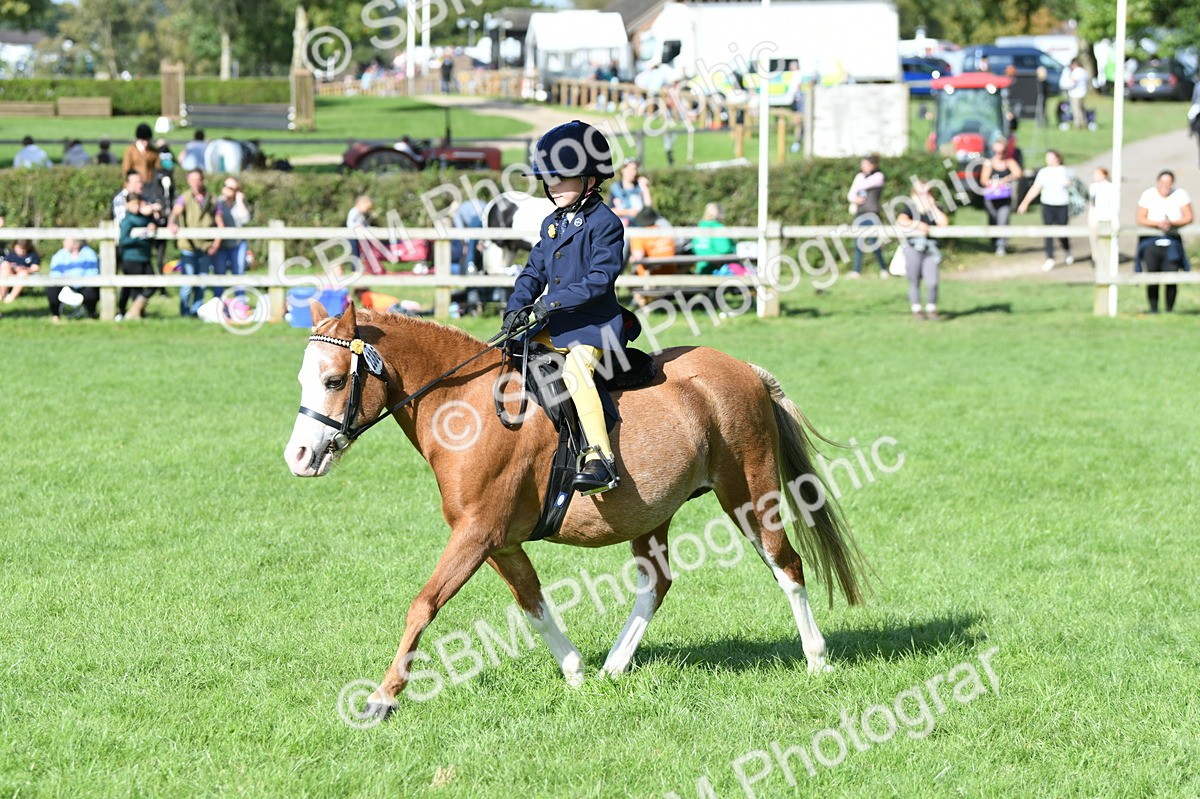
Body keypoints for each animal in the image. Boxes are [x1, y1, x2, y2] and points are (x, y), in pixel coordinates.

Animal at [283, 301, 869, 716]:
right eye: (304, 380)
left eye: (334, 380)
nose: (299, 457)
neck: (466, 406)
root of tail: (742, 368)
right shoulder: (501, 543)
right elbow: (533, 605)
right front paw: (575, 673)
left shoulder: (476, 534)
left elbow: (423, 605)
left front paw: (381, 698)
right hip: (651, 514)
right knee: (657, 582)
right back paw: (613, 667)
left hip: (748, 493)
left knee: (786, 564)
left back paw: (817, 660)